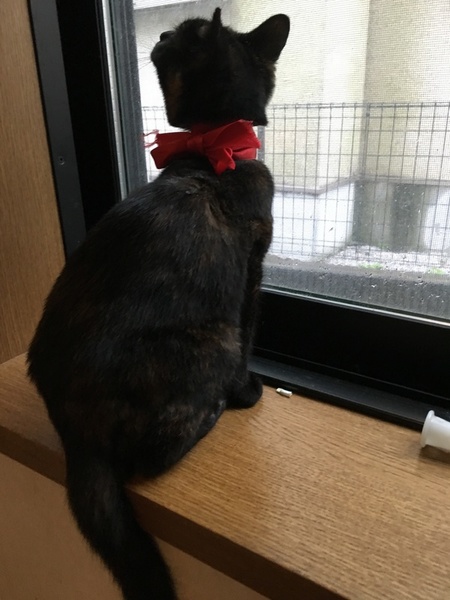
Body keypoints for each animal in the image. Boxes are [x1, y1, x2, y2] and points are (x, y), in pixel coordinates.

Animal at [27, 8, 289, 600]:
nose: (165, 32)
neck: (209, 146)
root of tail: (71, 428)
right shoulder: (251, 273)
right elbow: (252, 335)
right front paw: (248, 392)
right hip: (211, 342)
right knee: (153, 458)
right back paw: (216, 409)